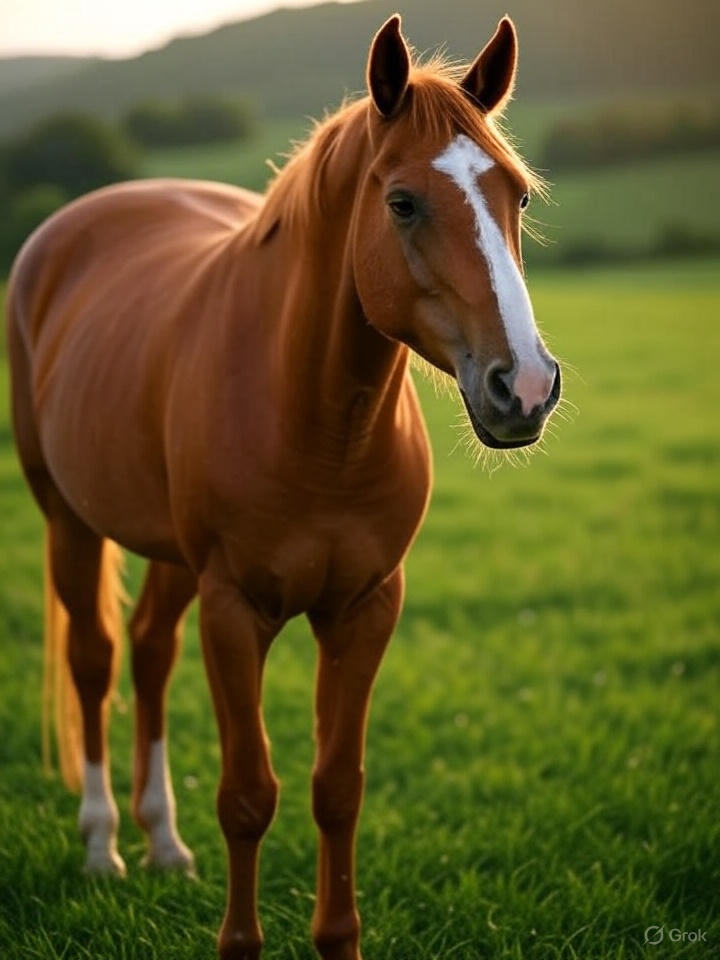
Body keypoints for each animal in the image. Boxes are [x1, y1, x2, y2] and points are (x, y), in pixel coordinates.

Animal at [6, 13, 560, 960]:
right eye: (402, 202)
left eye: (517, 196)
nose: (522, 386)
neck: (317, 426)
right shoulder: (236, 611)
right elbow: (248, 795)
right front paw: (239, 940)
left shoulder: (366, 608)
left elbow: (337, 787)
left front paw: (338, 937)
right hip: (68, 521)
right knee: (97, 659)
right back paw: (103, 844)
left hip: (171, 554)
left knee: (149, 651)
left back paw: (163, 843)